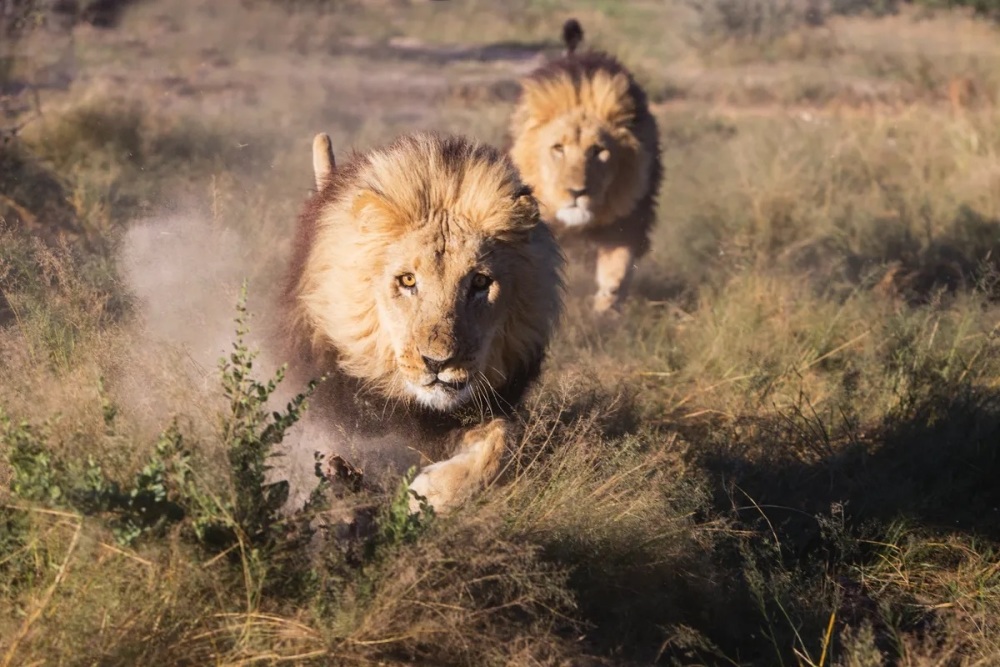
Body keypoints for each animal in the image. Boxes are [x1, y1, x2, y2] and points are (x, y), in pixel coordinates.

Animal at [508, 17, 664, 316]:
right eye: (558, 148)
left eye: (599, 151)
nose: (577, 192)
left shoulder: (629, 219)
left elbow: (617, 270)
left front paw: (605, 311)